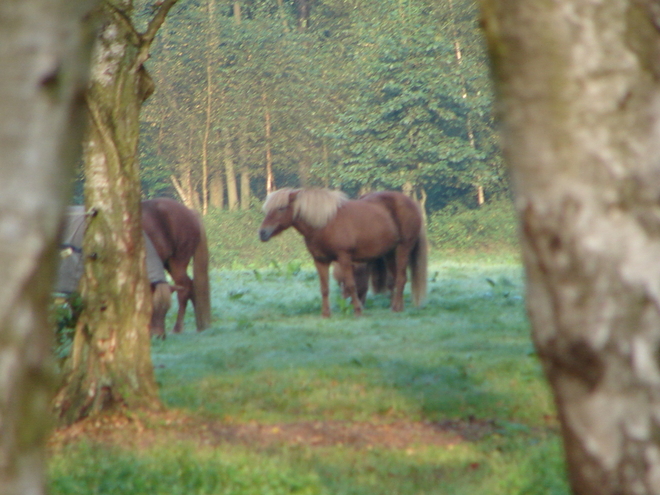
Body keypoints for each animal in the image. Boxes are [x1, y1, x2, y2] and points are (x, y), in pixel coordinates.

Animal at [142, 199, 211, 338]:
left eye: (166, 310)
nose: (158, 336)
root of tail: (190, 212)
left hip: (178, 262)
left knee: (186, 288)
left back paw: (178, 328)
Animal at [260, 188, 430, 316]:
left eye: (281, 208)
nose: (262, 233)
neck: (325, 224)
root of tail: (412, 203)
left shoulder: (344, 258)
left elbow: (350, 285)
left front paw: (358, 311)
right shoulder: (320, 261)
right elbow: (325, 288)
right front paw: (326, 314)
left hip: (403, 248)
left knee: (401, 278)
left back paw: (395, 308)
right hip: (389, 254)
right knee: (395, 280)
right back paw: (397, 307)